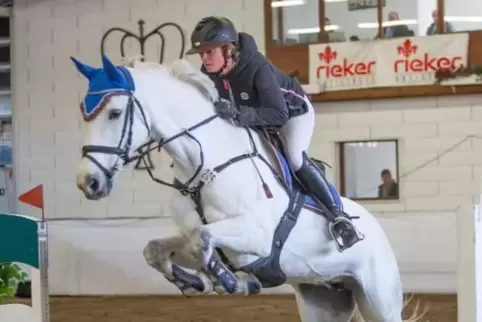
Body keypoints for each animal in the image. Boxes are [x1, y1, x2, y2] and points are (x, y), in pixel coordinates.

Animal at [71, 55, 422, 322]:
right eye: (83, 113)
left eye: (115, 113)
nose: (88, 182)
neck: (204, 163)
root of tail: (374, 226)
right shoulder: (202, 238)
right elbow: (158, 249)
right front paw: (194, 281)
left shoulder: (258, 237)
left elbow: (203, 240)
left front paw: (233, 282)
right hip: (322, 300)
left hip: (378, 299)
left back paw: (344, 227)